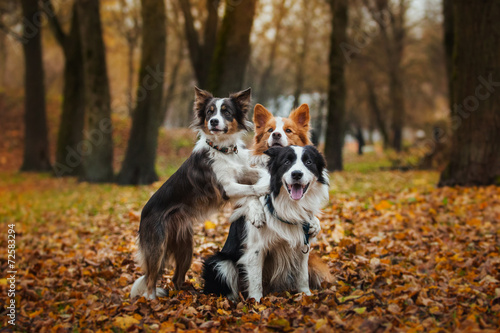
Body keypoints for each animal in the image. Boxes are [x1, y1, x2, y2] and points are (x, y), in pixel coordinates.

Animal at [130, 86, 270, 298]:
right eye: (210, 112)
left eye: (226, 112)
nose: (213, 121)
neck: (223, 149)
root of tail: (143, 214)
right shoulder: (226, 187)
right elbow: (252, 190)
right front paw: (265, 194)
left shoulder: (242, 174)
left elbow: (253, 185)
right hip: (157, 247)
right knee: (150, 281)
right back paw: (152, 299)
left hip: (186, 247)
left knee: (176, 278)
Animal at [201, 144, 330, 300]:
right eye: (286, 162)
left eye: (308, 162)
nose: (297, 174)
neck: (288, 206)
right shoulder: (255, 248)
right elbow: (256, 281)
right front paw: (256, 302)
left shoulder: (303, 245)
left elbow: (303, 276)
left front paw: (306, 296)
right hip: (220, 262)